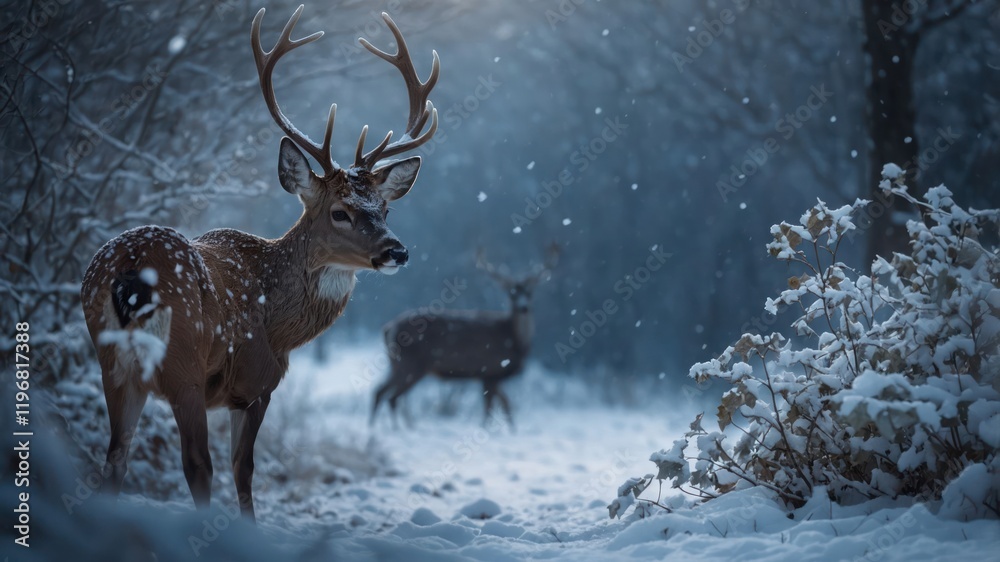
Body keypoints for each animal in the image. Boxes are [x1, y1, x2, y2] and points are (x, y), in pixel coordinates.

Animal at [79, 6, 440, 522]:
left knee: (115, 457)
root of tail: (130, 270)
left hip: (111, 362)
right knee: (197, 465)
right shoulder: (255, 384)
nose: (397, 251)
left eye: (385, 209)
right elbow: (243, 471)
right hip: (183, 361)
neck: (280, 327)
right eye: (340, 212)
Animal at [371, 246, 558, 428]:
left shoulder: (490, 376)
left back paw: (376, 429)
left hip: (396, 363)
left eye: (530, 293)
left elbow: (505, 404)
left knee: (379, 391)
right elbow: (490, 408)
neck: (514, 339)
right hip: (411, 363)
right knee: (392, 396)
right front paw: (488, 430)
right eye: (511, 294)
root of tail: (388, 328)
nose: (523, 308)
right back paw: (399, 429)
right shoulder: (491, 370)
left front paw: (512, 431)